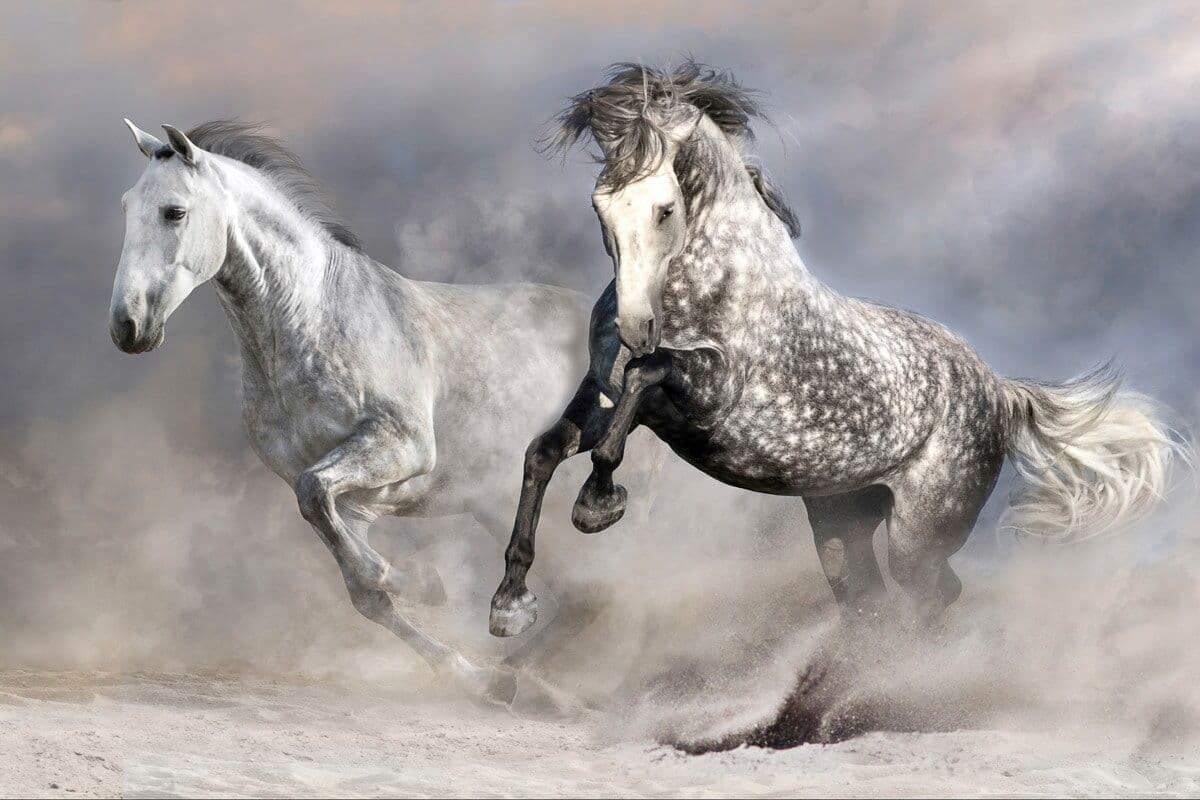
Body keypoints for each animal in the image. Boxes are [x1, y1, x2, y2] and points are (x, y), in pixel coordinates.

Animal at [109, 118, 618, 702]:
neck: (311, 320)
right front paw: (458, 659)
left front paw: (427, 585)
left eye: (174, 211)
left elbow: (325, 507)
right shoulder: (354, 501)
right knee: (584, 596)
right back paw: (508, 682)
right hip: (496, 505)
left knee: (598, 592)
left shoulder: (400, 449)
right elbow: (358, 583)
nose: (127, 327)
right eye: (126, 206)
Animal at [489, 61, 1179, 640]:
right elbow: (544, 451)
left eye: (663, 210)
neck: (715, 278)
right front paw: (510, 603)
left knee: (933, 597)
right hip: (841, 526)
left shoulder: (710, 392)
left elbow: (641, 381)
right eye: (601, 206)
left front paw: (597, 503)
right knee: (869, 604)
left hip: (917, 535)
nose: (636, 325)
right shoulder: (610, 397)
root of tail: (1001, 393)